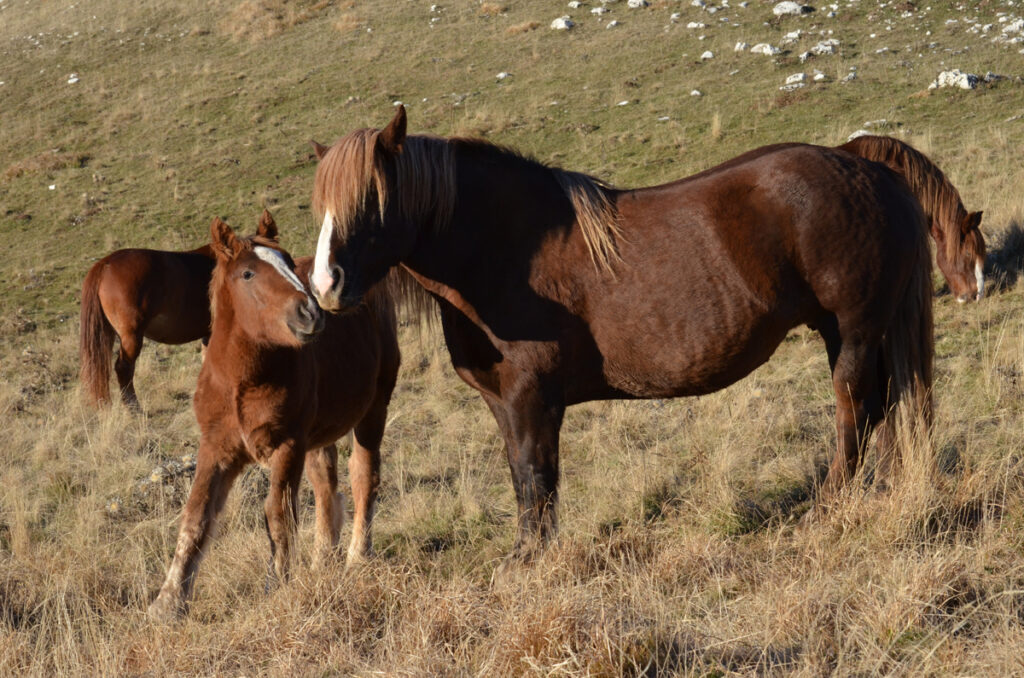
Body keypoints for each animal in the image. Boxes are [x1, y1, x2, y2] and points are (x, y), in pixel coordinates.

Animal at [148, 213, 399, 622]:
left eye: (289, 264)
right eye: (248, 274)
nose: (311, 313)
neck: (242, 381)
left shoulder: (287, 446)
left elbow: (278, 514)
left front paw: (277, 585)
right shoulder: (216, 448)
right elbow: (195, 516)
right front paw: (168, 602)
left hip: (374, 409)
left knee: (364, 476)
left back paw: (358, 557)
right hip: (318, 435)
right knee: (326, 486)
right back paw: (322, 562)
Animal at [307, 106, 933, 561]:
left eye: (373, 200)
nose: (324, 285)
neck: (502, 250)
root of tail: (860, 163)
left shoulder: (532, 398)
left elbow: (537, 476)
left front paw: (534, 560)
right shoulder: (504, 402)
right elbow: (522, 478)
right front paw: (526, 551)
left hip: (853, 333)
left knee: (855, 413)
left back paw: (830, 507)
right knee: (881, 411)